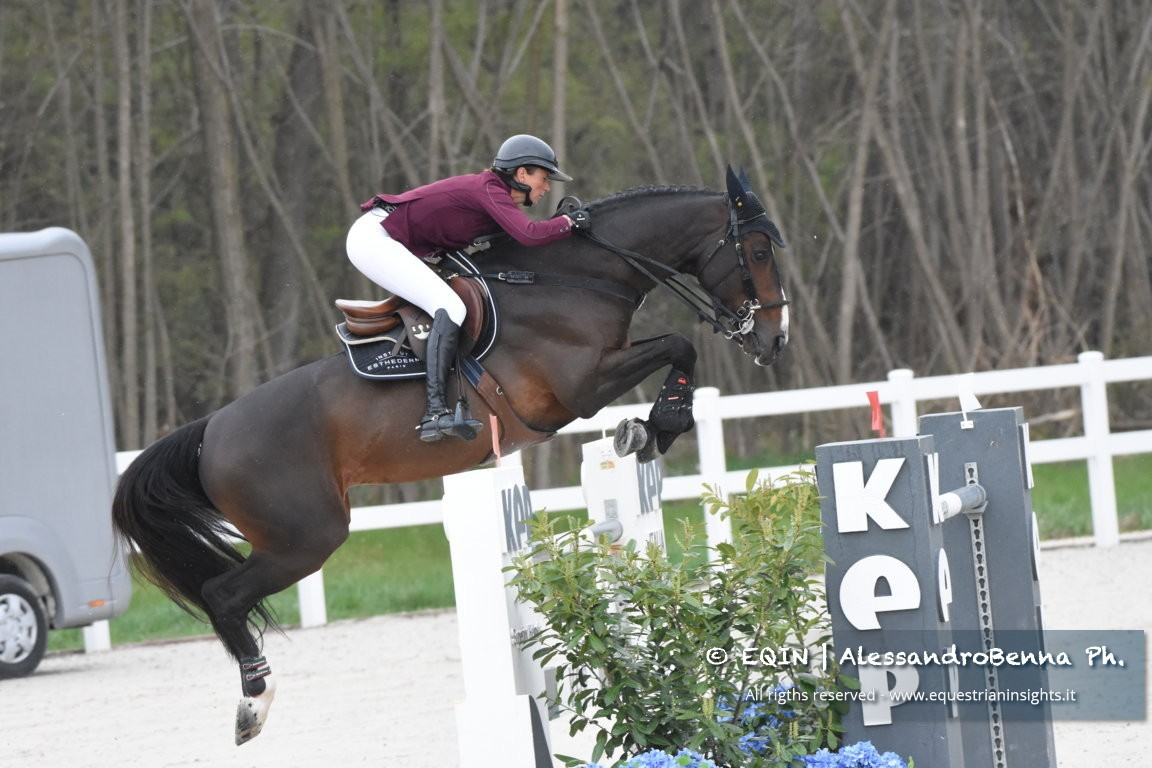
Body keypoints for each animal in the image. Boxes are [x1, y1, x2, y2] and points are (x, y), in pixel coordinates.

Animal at [111, 166, 790, 744]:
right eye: (757, 252)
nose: (773, 340)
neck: (574, 276)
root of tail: (211, 431)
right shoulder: (579, 390)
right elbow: (678, 344)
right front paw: (661, 425)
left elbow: (676, 349)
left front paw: (647, 431)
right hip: (306, 537)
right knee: (224, 595)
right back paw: (254, 703)